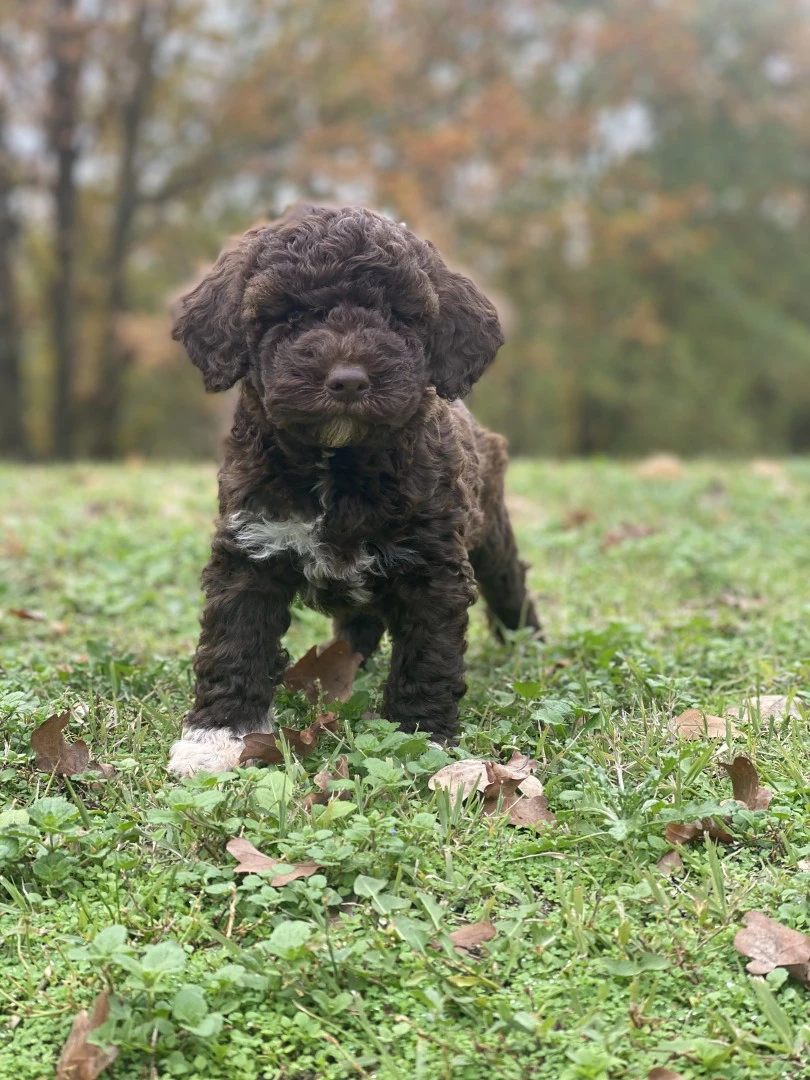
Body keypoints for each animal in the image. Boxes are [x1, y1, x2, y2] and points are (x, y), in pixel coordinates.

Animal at [168, 204, 542, 777]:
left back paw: (532, 644)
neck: (338, 465)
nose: (348, 380)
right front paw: (216, 735)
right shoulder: (250, 548)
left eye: (397, 317)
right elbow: (234, 643)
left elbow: (427, 656)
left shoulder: (433, 567)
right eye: (291, 315)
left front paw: (420, 736)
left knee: (510, 583)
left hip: (492, 532)